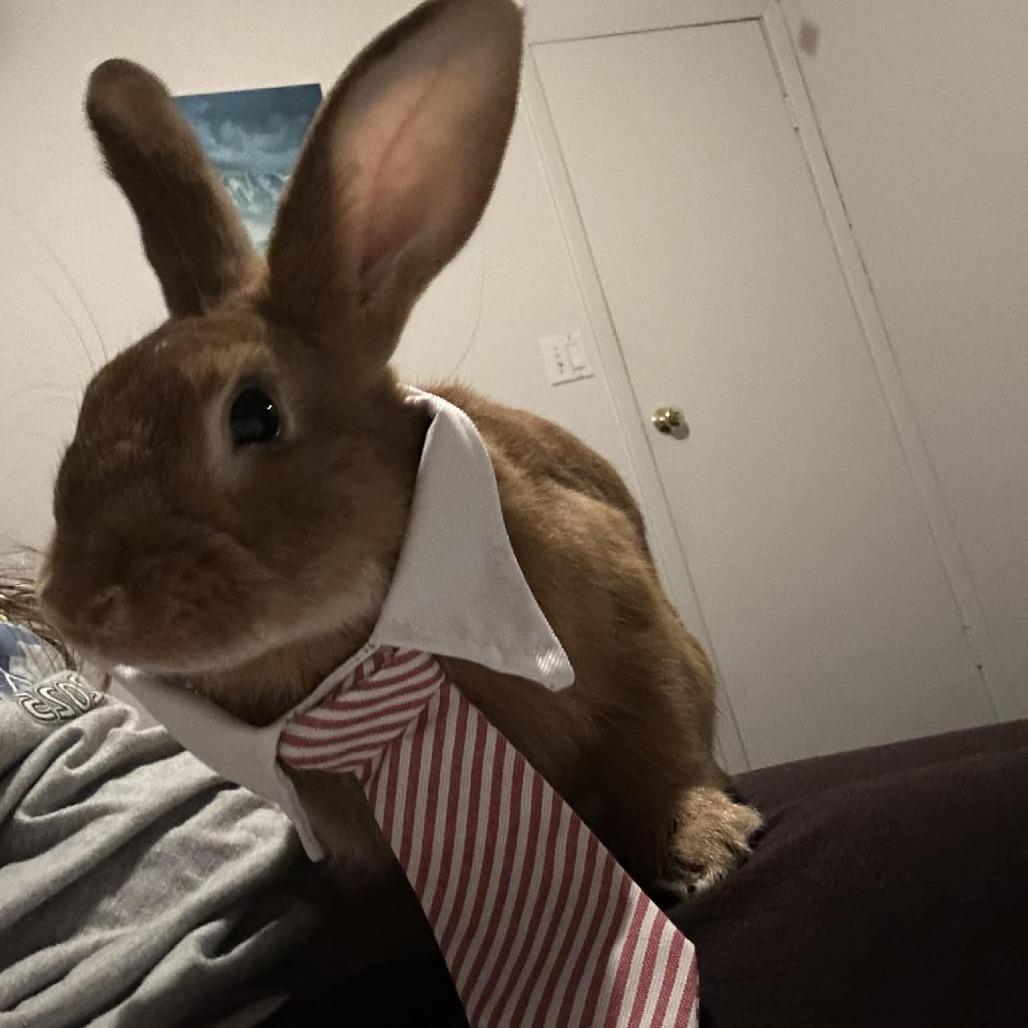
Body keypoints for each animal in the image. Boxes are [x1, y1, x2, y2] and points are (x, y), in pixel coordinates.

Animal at [38, 0, 761, 903]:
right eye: (92, 403)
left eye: (254, 414)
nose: (75, 605)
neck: (335, 647)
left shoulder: (640, 632)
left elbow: (659, 736)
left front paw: (702, 845)